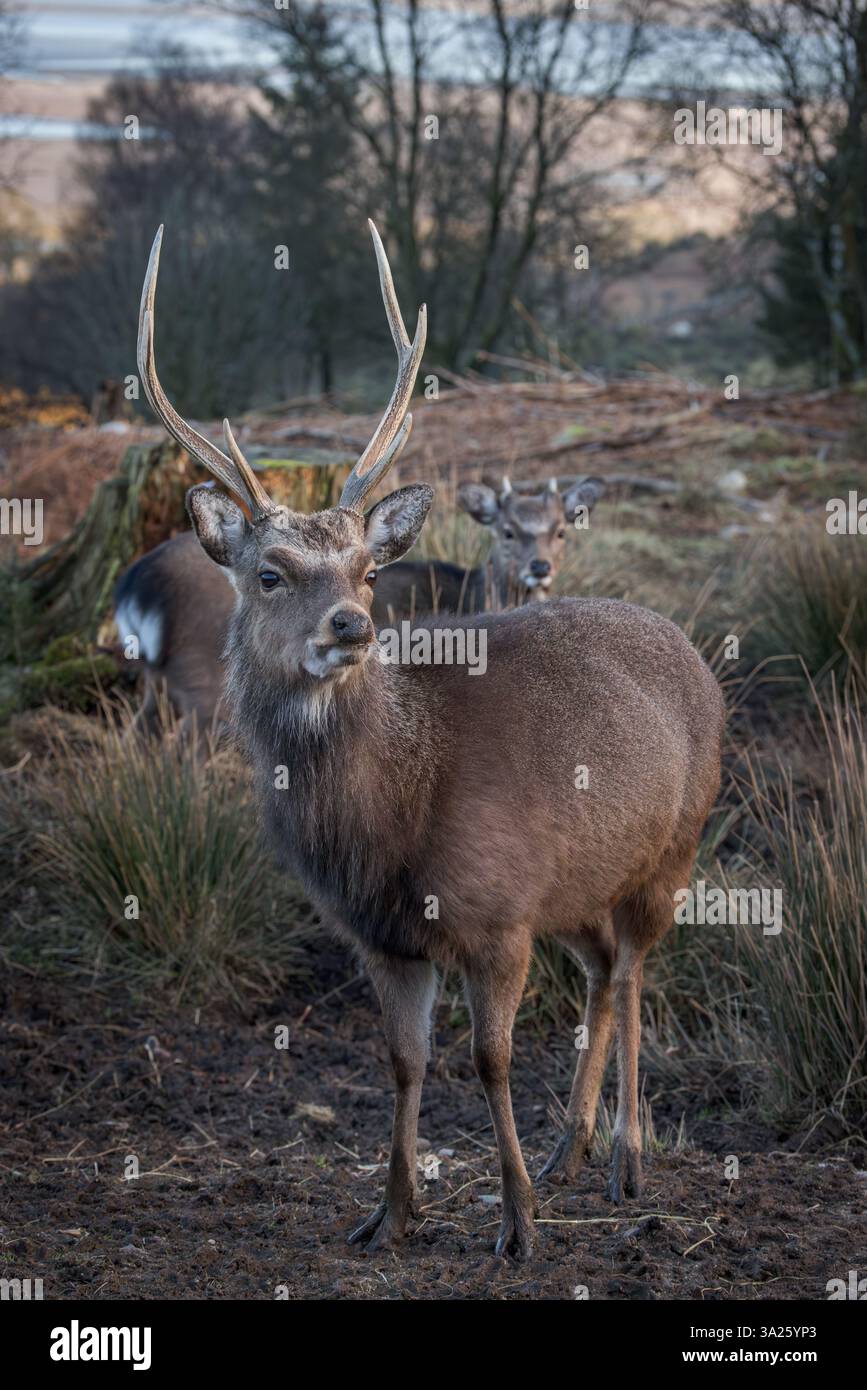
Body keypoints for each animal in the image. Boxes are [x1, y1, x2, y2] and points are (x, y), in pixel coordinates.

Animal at [137, 220, 724, 1261]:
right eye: (270, 572)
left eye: (368, 569)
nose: (352, 626)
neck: (392, 815)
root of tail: (689, 647)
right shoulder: (382, 934)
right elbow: (404, 1063)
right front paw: (390, 1212)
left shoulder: (497, 911)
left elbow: (487, 1061)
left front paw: (517, 1224)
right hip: (579, 887)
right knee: (602, 973)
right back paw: (572, 1149)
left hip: (673, 847)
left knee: (637, 973)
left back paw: (625, 1160)